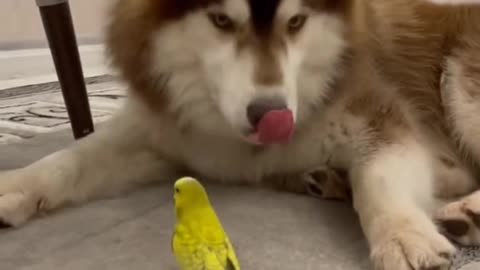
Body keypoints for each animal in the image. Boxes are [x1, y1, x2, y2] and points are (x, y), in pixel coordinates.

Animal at [0, 0, 480, 268]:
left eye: (296, 23)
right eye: (221, 21)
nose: (273, 115)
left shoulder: (378, 117)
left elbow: (377, 180)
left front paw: (404, 236)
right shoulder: (168, 133)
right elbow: (74, 157)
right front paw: (16, 185)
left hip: (461, 84)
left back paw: (466, 211)